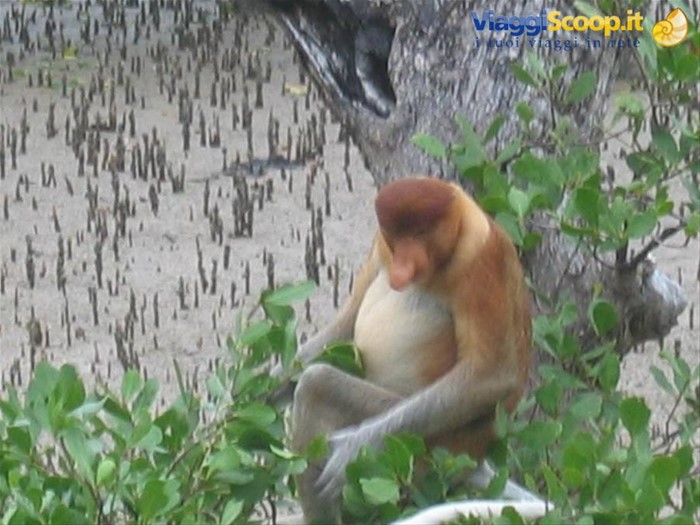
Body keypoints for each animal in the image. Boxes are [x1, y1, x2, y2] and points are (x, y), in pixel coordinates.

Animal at [280, 176, 542, 523]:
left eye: (418, 233)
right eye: (397, 235)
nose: (402, 264)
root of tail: (476, 457)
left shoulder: (482, 260)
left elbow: (493, 374)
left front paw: (358, 443)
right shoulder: (380, 245)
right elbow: (345, 326)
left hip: (436, 447)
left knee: (318, 384)